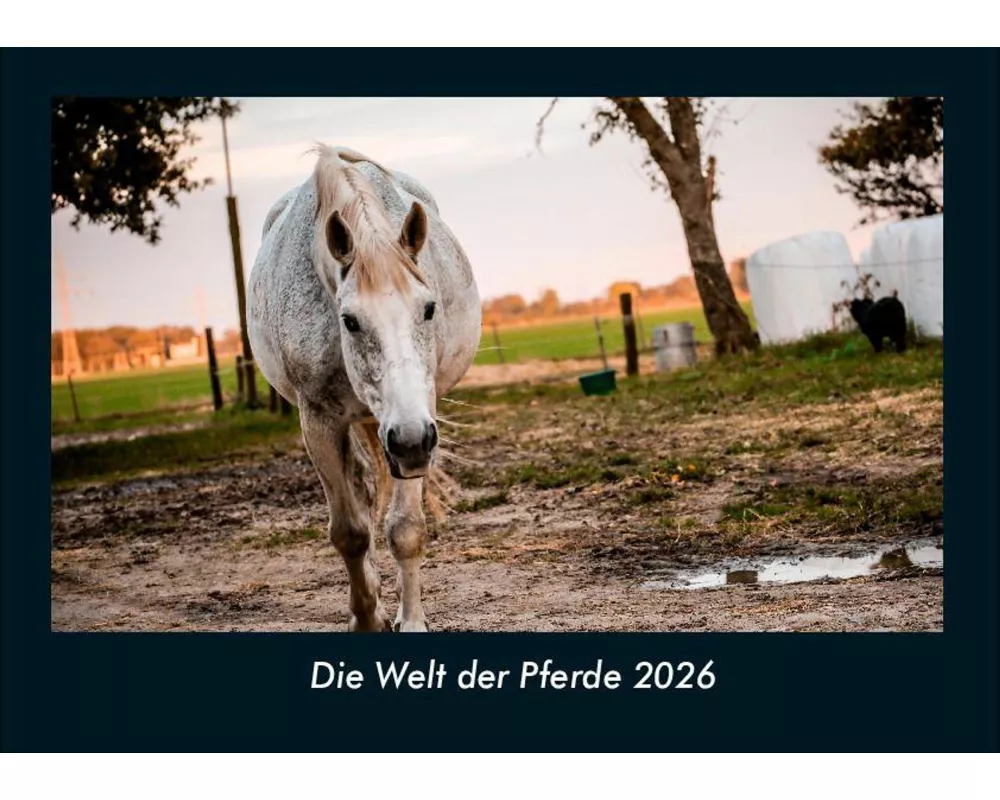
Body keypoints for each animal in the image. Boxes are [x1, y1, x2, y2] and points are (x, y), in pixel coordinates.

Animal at [247, 145, 481, 632]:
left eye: (429, 308)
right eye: (350, 320)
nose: (409, 440)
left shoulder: (420, 422)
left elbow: (406, 529)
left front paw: (410, 620)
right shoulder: (319, 421)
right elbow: (351, 532)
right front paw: (368, 616)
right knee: (358, 490)